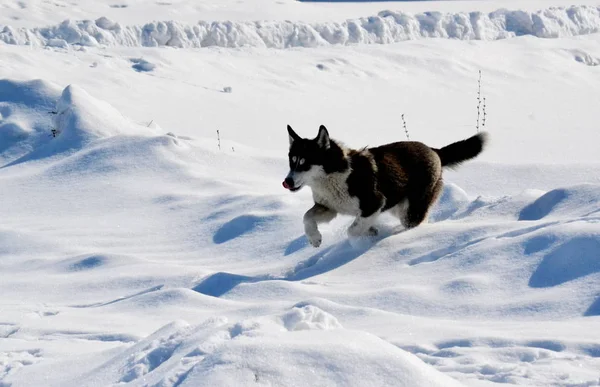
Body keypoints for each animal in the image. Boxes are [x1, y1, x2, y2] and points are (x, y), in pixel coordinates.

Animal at [282, 125, 488, 249]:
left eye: (305, 163)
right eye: (292, 161)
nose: (287, 182)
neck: (334, 174)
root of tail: (434, 151)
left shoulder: (374, 203)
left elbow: (352, 230)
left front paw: (364, 239)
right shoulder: (329, 207)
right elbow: (307, 217)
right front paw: (314, 238)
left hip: (411, 210)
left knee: (414, 222)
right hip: (399, 206)